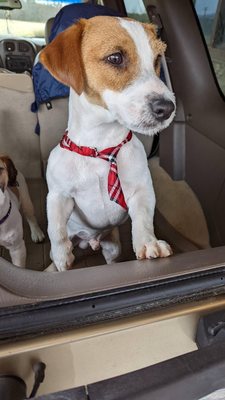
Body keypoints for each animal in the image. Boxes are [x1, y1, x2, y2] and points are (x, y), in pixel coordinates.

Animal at [40, 16, 176, 272]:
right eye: (115, 58)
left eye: (156, 60)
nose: (167, 108)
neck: (100, 148)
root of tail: (89, 240)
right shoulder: (58, 196)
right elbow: (56, 230)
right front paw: (62, 256)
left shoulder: (142, 190)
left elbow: (143, 218)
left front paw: (149, 243)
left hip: (112, 247)